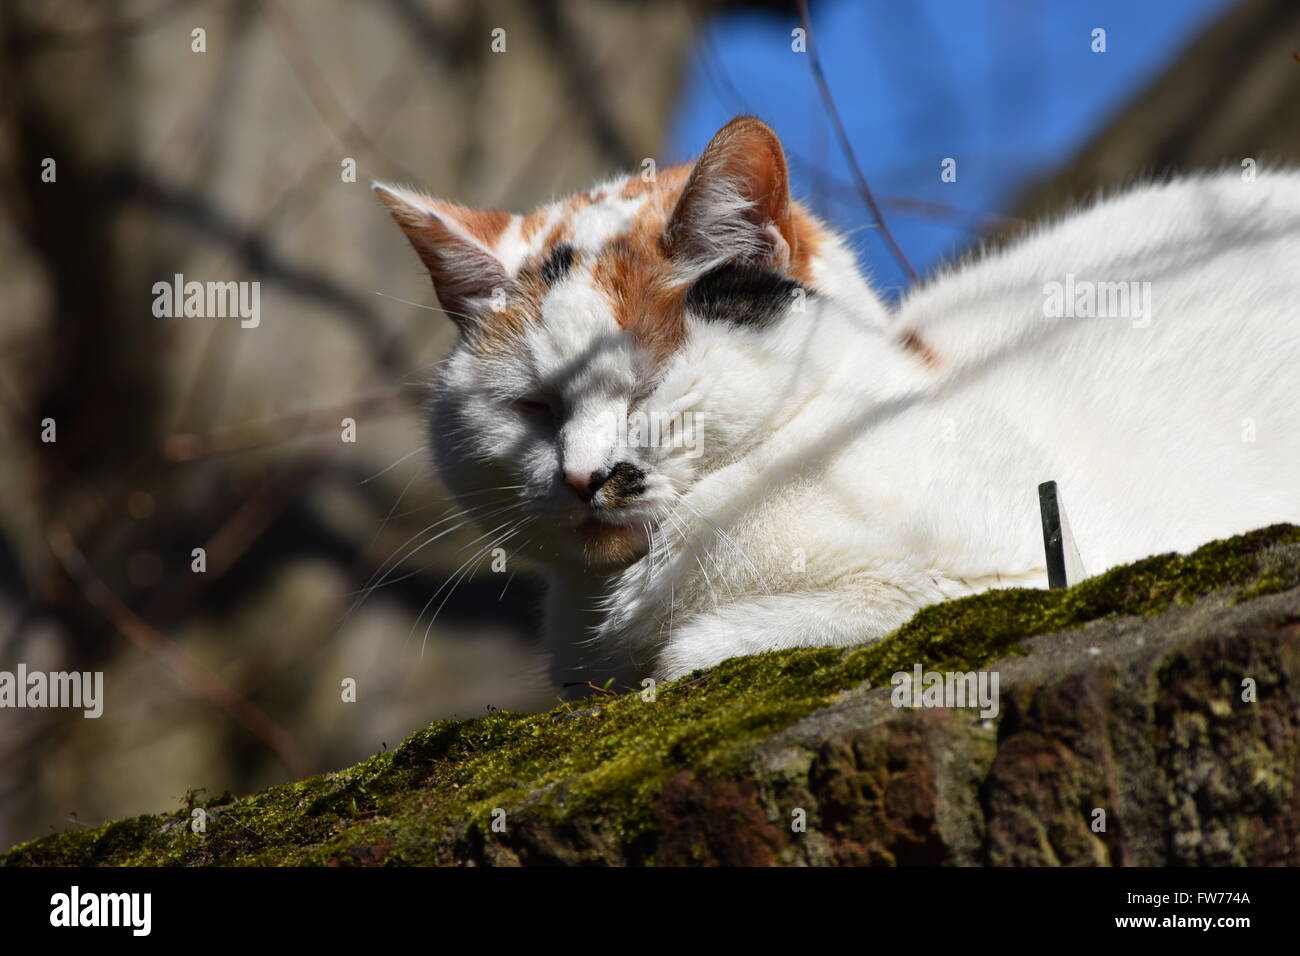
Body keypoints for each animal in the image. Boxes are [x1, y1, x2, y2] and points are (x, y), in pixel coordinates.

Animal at [377, 115, 1300, 691]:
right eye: (533, 407)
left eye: (647, 387)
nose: (583, 477)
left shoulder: (1011, 572)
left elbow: (695, 651)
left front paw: (678, 651)